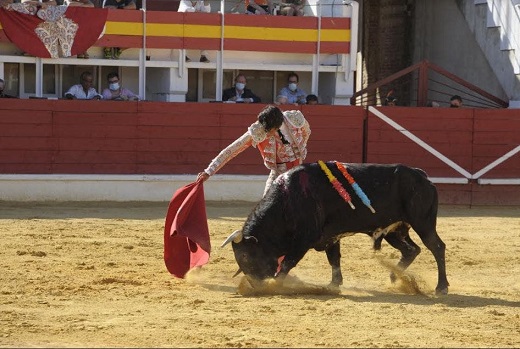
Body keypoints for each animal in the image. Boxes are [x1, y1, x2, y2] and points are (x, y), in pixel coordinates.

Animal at [225, 160, 448, 294]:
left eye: (245, 256)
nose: (256, 285)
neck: (288, 200)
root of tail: (422, 176)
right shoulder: (330, 236)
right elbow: (334, 259)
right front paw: (333, 284)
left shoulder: (304, 239)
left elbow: (288, 262)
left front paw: (276, 284)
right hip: (394, 230)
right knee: (411, 250)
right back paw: (396, 277)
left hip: (423, 223)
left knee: (436, 247)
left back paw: (441, 287)